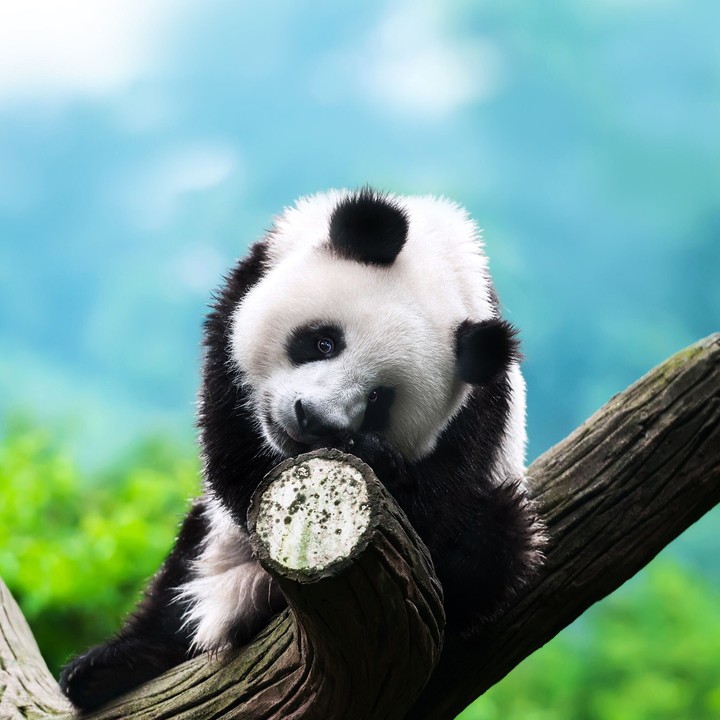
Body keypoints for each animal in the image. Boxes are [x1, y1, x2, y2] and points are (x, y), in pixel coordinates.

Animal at [60, 188, 544, 711]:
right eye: (323, 342)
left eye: (380, 400)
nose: (312, 419)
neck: (440, 256)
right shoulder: (246, 291)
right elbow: (234, 454)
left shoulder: (478, 417)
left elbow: (442, 514)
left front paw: (379, 461)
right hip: (213, 543)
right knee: (183, 566)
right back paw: (110, 667)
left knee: (498, 539)